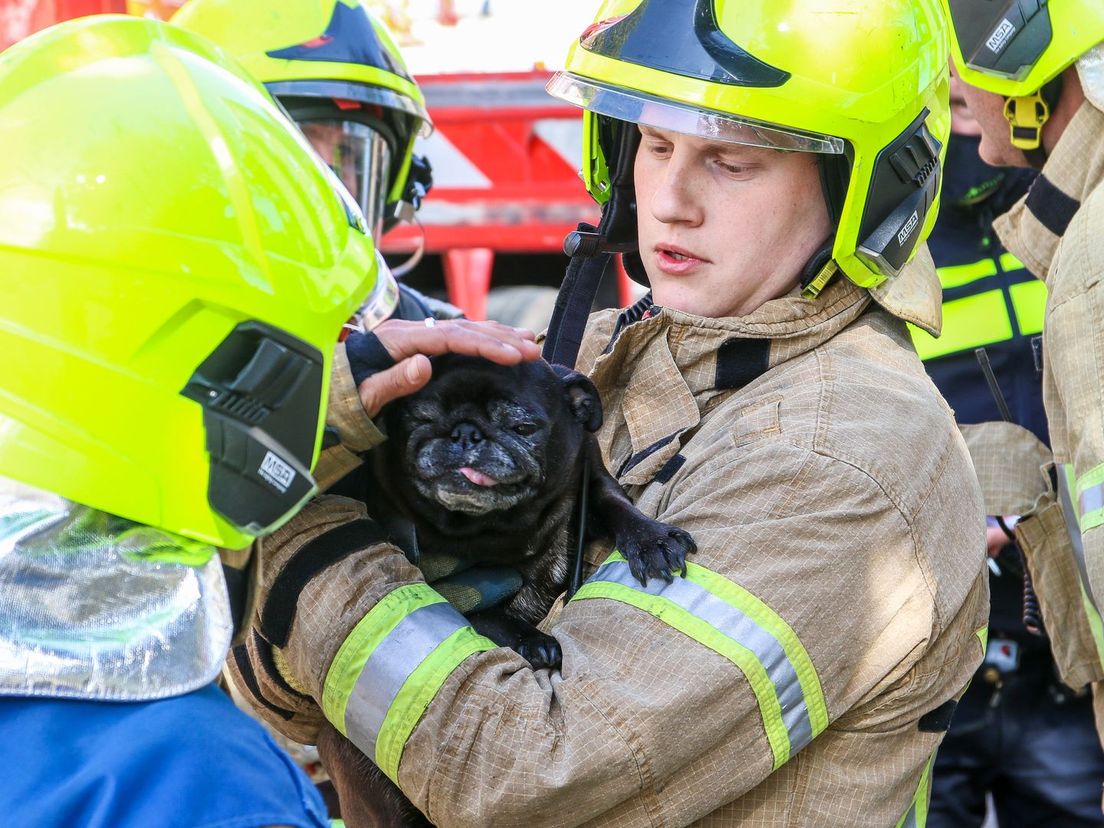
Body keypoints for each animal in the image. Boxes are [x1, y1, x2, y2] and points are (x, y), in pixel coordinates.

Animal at [320, 355, 693, 828]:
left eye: (523, 427)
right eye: (420, 419)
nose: (465, 434)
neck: (502, 530)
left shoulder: (591, 477)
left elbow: (616, 503)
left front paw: (650, 538)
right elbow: (479, 614)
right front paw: (531, 640)